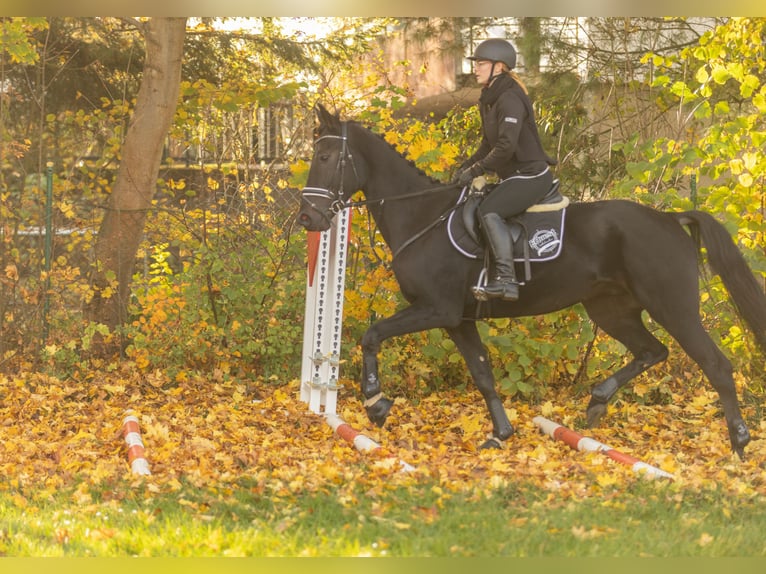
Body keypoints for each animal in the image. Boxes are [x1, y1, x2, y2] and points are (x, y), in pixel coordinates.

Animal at [296, 103, 766, 462]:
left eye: (325, 158)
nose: (307, 218)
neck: (421, 217)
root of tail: (670, 219)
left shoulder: (435, 309)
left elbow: (373, 335)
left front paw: (376, 404)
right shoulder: (459, 320)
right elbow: (483, 373)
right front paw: (500, 434)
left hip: (673, 307)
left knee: (715, 365)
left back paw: (739, 442)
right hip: (611, 309)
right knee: (653, 351)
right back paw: (598, 401)